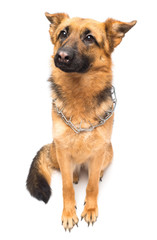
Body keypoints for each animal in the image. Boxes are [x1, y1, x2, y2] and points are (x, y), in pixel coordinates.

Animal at [26, 12, 137, 231]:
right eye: (63, 33)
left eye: (89, 38)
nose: (61, 56)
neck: (79, 91)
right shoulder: (63, 149)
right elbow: (66, 186)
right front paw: (69, 213)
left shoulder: (99, 151)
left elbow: (92, 185)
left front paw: (91, 209)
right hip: (57, 151)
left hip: (108, 152)